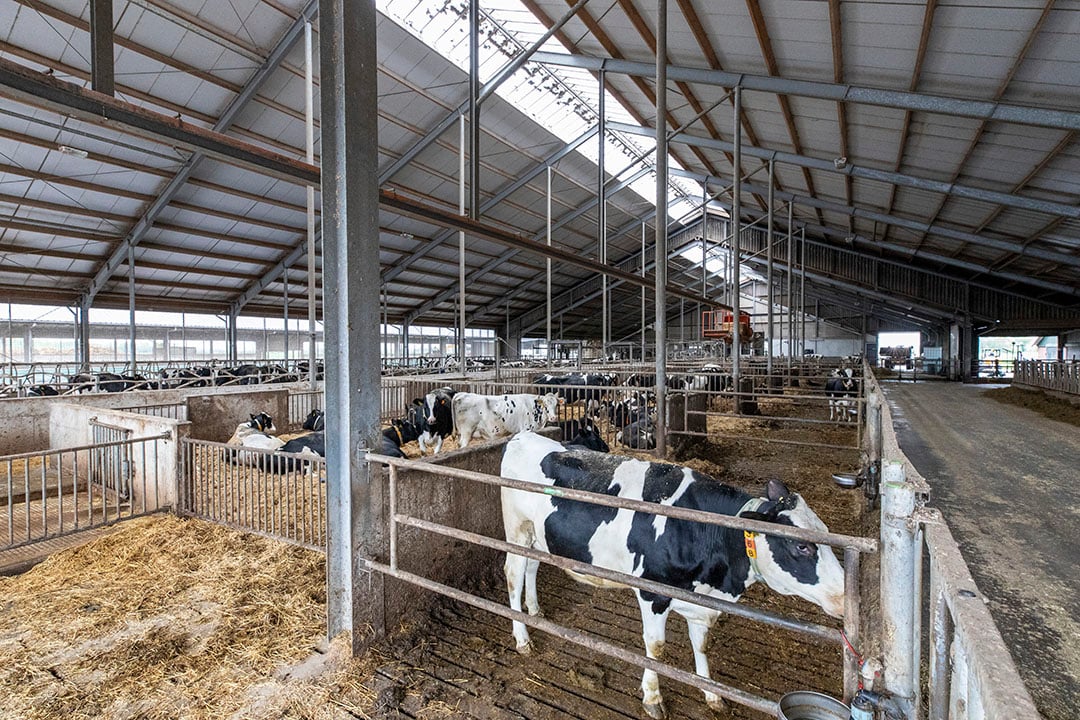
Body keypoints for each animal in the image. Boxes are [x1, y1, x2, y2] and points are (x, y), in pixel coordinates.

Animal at [496, 433, 842, 720]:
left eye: (826, 533)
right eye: (802, 546)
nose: (843, 598)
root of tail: (523, 435)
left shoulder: (702, 601)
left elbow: (702, 645)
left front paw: (712, 694)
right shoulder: (653, 592)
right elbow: (656, 647)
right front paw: (652, 698)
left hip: (538, 537)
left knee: (532, 568)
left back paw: (535, 611)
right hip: (516, 530)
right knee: (513, 575)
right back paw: (522, 638)